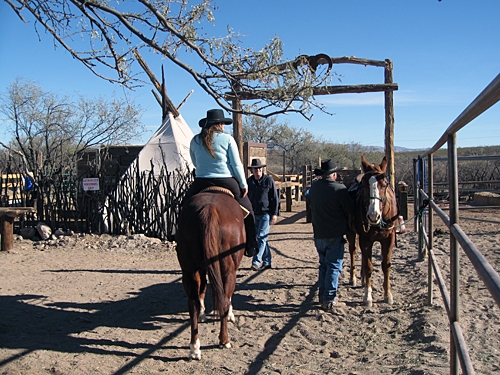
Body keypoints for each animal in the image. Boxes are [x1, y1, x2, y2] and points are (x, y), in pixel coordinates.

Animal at [176, 191, 246, 362]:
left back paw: (195, 349)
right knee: (224, 300)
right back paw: (224, 340)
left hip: (189, 270)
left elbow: (202, 291)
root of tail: (209, 209)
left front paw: (202, 314)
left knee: (193, 304)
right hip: (228, 269)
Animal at [348, 157, 398, 306]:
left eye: (384, 184)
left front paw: (388, 295)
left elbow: (386, 265)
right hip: (351, 233)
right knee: (353, 251)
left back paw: (363, 279)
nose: (373, 215)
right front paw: (368, 296)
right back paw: (354, 278)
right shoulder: (365, 239)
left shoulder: (389, 239)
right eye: (364, 185)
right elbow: (369, 266)